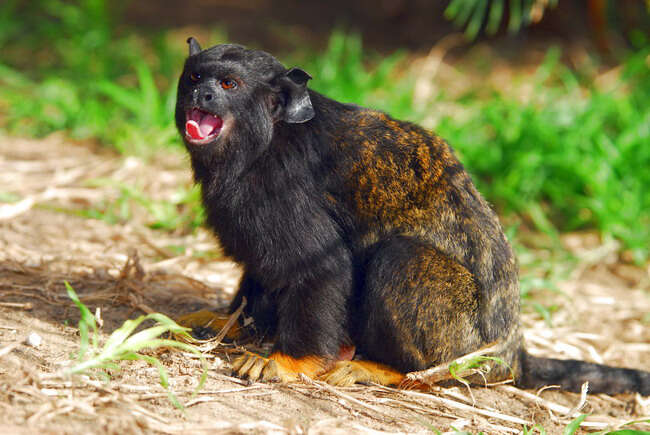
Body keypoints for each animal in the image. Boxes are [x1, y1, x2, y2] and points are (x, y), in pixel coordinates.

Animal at [175, 38, 644, 396]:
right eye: (196, 78)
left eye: (229, 84)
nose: (204, 95)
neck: (266, 139)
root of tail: (510, 354)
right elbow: (263, 269)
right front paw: (232, 322)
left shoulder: (280, 187)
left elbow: (321, 267)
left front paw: (288, 361)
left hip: (461, 344)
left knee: (402, 259)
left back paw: (389, 369)